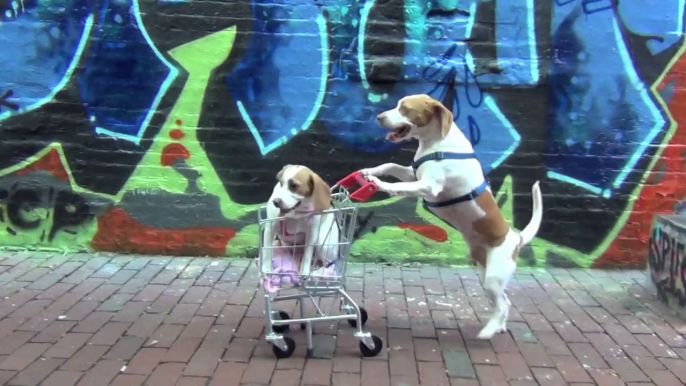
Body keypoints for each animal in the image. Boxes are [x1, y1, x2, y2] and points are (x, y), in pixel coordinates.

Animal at [360, 95, 544, 340]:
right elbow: (390, 165)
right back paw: (499, 326)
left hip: (494, 278)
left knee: (503, 305)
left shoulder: (428, 186)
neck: (437, 143)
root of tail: (516, 238)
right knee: (505, 301)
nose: (379, 117)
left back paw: (489, 330)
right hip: (487, 272)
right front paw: (369, 171)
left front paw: (380, 184)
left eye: (405, 108)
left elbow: (399, 186)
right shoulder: (413, 173)